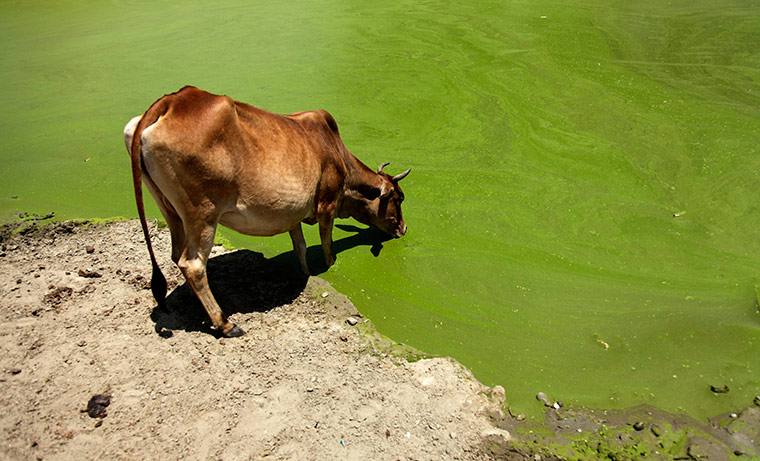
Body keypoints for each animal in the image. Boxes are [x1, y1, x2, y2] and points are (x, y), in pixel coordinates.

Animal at [124, 86, 410, 338]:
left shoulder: (293, 214)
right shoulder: (326, 206)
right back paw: (225, 324)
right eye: (399, 198)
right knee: (192, 263)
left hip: (170, 209)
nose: (404, 228)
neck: (338, 155)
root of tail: (173, 100)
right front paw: (329, 268)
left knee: (176, 254)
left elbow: (300, 248)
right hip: (202, 214)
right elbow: (327, 248)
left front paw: (305, 273)